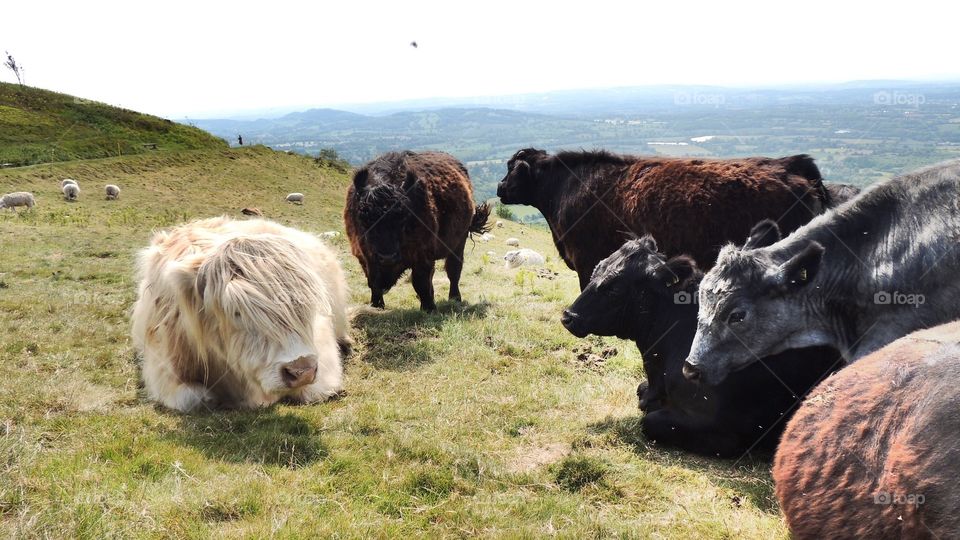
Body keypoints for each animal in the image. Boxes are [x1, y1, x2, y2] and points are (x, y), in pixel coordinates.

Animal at [130, 216, 351, 412]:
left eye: (305, 306)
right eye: (236, 312)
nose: (302, 371)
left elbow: (315, 389)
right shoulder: (162, 365)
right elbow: (194, 399)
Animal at [344, 151, 490, 311]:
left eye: (404, 217)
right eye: (363, 218)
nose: (387, 257)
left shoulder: (422, 255)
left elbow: (421, 283)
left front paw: (429, 308)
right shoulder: (364, 257)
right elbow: (373, 282)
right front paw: (376, 305)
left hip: (458, 243)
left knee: (454, 271)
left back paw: (455, 298)